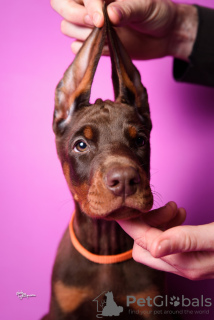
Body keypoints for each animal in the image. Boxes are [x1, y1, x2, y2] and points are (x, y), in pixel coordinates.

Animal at [41, 5, 174, 320]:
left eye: (140, 140)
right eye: (81, 144)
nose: (124, 180)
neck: (106, 247)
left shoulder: (151, 304)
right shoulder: (61, 307)